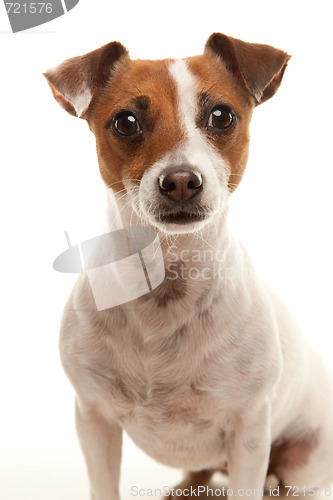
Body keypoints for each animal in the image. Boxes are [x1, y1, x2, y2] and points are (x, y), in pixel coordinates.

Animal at [44, 33, 332, 498]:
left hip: (302, 461)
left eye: (221, 116)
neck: (166, 286)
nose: (180, 180)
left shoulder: (250, 434)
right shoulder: (94, 421)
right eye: (126, 122)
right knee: (200, 473)